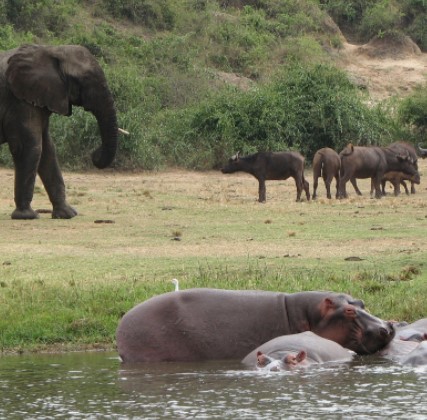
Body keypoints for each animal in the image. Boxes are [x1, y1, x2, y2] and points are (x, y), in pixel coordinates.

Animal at [0, 44, 118, 218]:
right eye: (84, 80)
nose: (94, 155)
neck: (51, 50)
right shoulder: (18, 100)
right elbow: (30, 147)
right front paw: (26, 215)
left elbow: (48, 149)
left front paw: (67, 214)